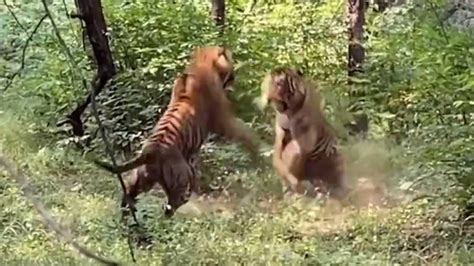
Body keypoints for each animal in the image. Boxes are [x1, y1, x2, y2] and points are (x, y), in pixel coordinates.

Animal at [93, 46, 260, 217]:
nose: (234, 77)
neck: (203, 63)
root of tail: (150, 152)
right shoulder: (223, 120)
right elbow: (245, 132)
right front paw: (258, 148)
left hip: (141, 181)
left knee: (128, 196)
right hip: (181, 179)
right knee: (172, 206)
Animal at [260, 66, 348, 200]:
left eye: (280, 83)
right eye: (270, 82)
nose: (270, 94)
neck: (289, 111)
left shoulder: (304, 139)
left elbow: (292, 152)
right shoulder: (281, 133)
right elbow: (278, 156)